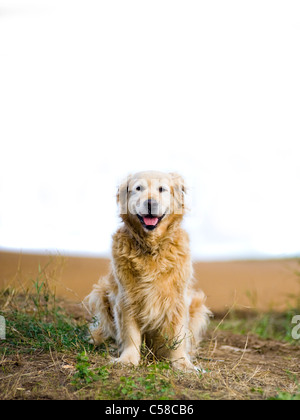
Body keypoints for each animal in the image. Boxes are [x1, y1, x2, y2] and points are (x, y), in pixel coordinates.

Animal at [84, 171, 211, 370]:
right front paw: (128, 359)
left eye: (162, 189)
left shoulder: (178, 299)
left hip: (197, 305)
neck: (151, 247)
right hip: (102, 291)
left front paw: (183, 364)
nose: (150, 203)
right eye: (138, 188)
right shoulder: (126, 297)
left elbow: (178, 335)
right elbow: (130, 333)